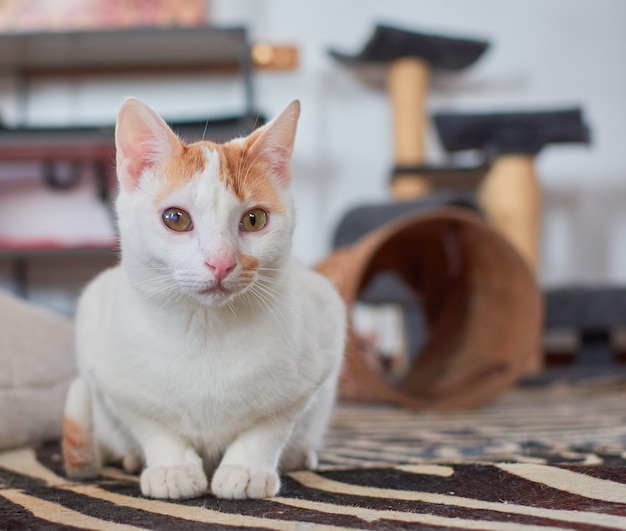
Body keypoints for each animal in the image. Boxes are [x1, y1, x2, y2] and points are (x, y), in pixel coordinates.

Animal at [62, 97, 346, 500]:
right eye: (175, 218)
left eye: (254, 220)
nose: (221, 262)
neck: (206, 330)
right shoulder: (111, 375)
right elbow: (152, 425)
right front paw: (172, 467)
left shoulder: (316, 360)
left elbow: (269, 426)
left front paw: (246, 468)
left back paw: (297, 456)